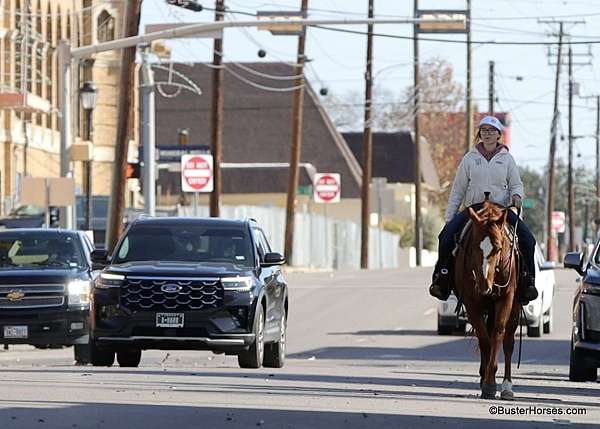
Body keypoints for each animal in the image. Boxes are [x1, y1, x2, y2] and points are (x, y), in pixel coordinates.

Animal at [454, 199, 520, 400]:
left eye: (498, 247)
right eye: (474, 246)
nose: (484, 286)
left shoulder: (506, 299)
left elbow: (498, 335)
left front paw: (491, 382)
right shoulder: (471, 302)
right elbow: (484, 339)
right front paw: (487, 381)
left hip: (514, 308)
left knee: (508, 343)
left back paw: (507, 386)